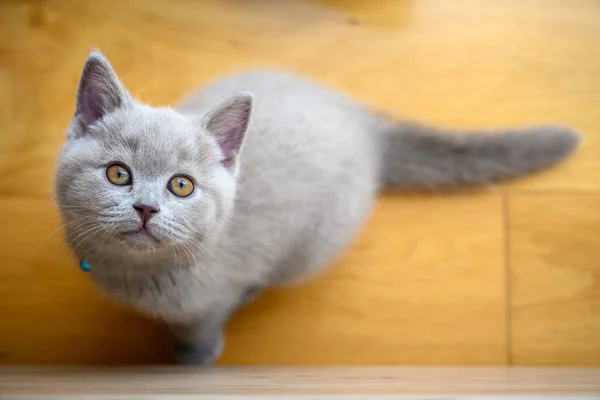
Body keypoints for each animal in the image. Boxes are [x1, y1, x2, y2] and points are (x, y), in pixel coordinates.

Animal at [55, 48, 576, 364]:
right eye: (118, 174)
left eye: (181, 186)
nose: (145, 208)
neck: (133, 274)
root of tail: (364, 123)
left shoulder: (209, 300)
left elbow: (201, 326)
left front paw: (191, 359)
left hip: (310, 247)